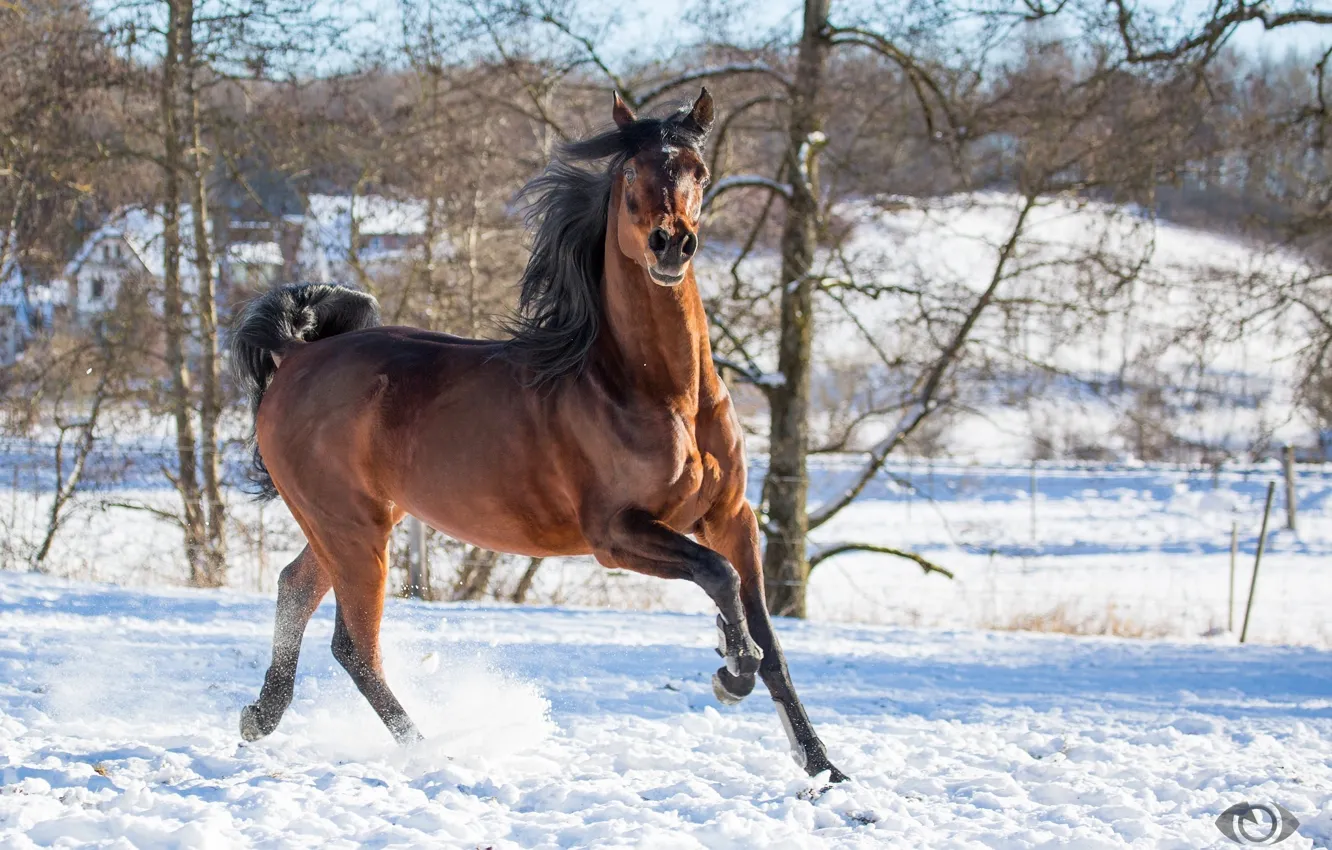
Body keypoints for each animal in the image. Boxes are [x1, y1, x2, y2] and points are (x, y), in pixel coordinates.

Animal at [229, 88, 847, 783]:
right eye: (631, 174)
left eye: (699, 172)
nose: (670, 246)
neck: (660, 392)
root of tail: (297, 356)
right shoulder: (616, 534)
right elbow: (719, 580)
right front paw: (730, 671)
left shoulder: (731, 517)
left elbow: (769, 639)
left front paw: (823, 767)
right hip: (351, 531)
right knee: (355, 646)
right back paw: (432, 749)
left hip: (355, 523)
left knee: (295, 590)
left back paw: (260, 718)